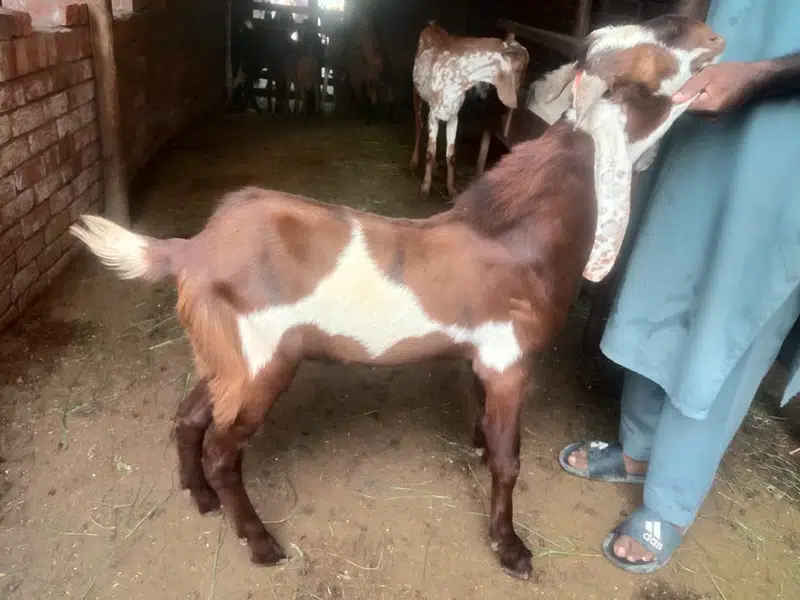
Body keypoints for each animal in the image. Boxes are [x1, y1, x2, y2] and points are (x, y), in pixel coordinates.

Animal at [409, 23, 530, 197]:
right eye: (520, 69)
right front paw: (425, 187)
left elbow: (451, 155)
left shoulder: (453, 116)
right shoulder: (434, 114)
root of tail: (433, 24)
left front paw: (452, 189)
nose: (518, 94)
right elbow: (430, 153)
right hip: (417, 94)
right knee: (419, 126)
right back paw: (413, 161)